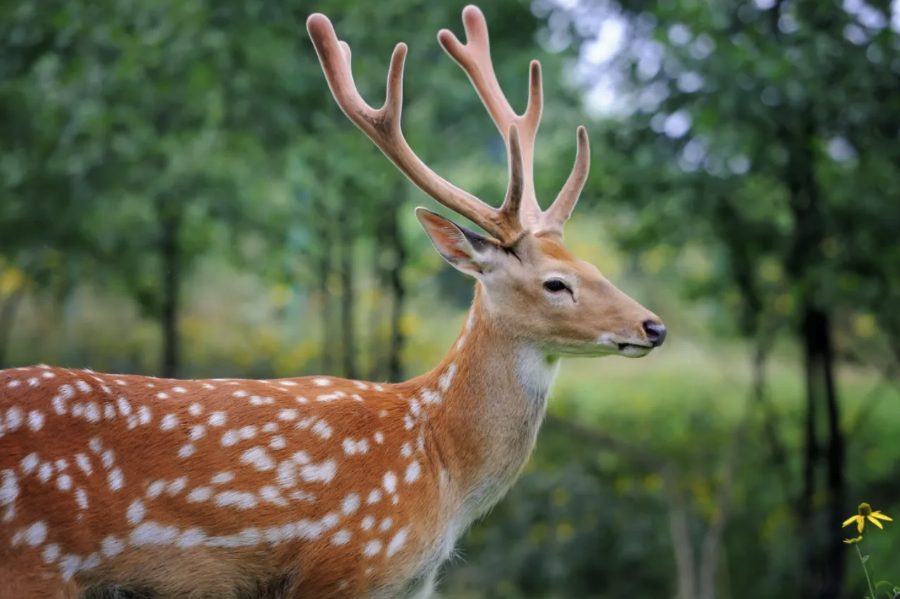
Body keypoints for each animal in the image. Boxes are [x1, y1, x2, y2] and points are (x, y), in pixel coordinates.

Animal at [1, 5, 668, 599]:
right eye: (557, 283)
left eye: (595, 267)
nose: (654, 326)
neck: (437, 464)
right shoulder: (347, 565)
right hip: (33, 562)